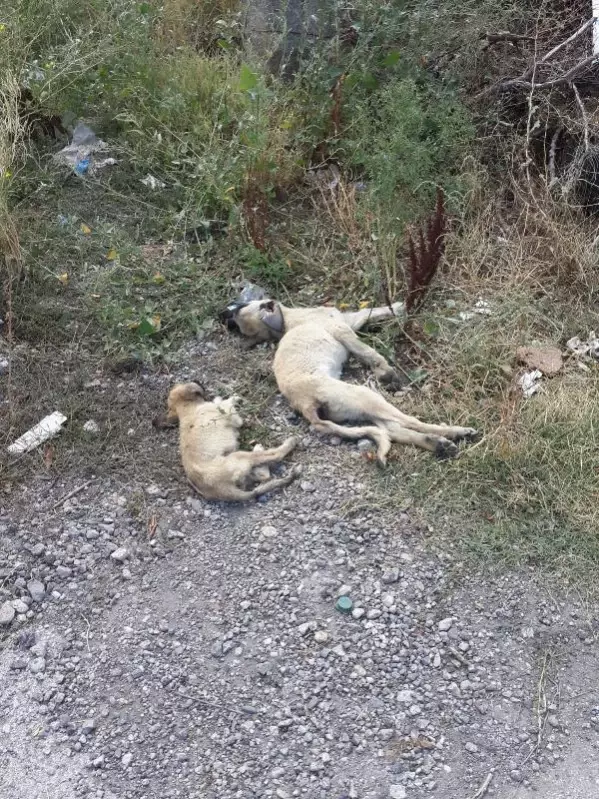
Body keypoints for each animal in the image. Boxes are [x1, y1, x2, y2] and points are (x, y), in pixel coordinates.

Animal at [161, 384, 300, 504]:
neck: (184, 409)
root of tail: (222, 490)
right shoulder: (232, 417)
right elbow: (225, 404)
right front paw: (229, 398)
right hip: (240, 456)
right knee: (273, 457)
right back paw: (288, 443)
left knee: (264, 476)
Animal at [220, 298, 478, 462]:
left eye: (240, 306)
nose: (224, 314)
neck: (288, 321)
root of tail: (305, 406)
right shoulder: (345, 327)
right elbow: (369, 333)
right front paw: (397, 308)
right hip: (365, 396)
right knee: (409, 422)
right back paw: (455, 432)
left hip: (358, 407)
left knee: (393, 431)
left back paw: (438, 444)